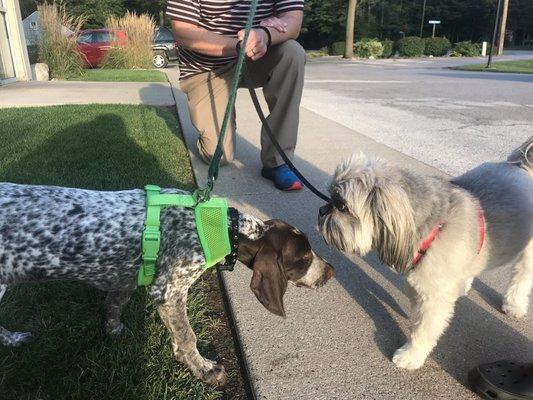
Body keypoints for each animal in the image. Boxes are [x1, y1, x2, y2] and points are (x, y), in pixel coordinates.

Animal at [0, 183, 332, 386]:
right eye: (304, 258)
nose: (330, 271)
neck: (226, 227)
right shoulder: (169, 293)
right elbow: (187, 338)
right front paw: (205, 369)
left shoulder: (126, 278)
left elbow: (115, 304)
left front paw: (112, 328)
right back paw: (13, 339)